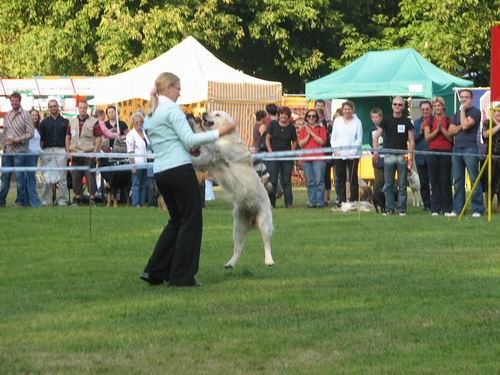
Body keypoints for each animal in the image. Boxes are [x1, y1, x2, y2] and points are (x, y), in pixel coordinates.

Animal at [190, 110, 276, 268]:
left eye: (217, 114)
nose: (204, 113)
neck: (226, 137)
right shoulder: (208, 160)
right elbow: (201, 158)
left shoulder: (220, 150)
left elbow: (208, 140)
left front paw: (195, 123)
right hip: (238, 226)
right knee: (238, 247)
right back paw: (230, 263)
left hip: (264, 221)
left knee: (266, 242)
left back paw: (269, 260)